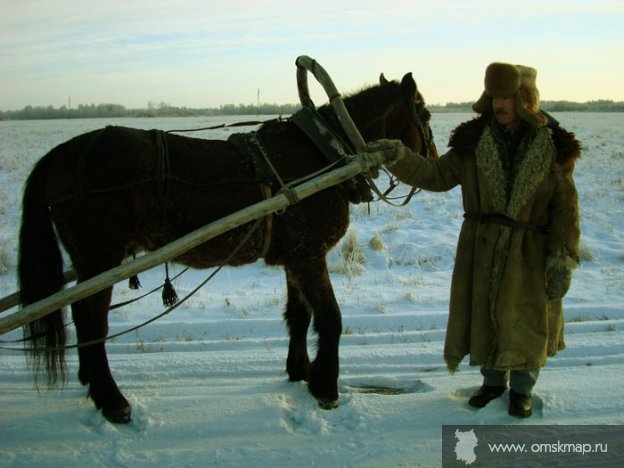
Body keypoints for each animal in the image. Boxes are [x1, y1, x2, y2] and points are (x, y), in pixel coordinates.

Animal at [20, 71, 438, 422]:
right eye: (426, 115)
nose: (433, 164)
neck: (323, 151)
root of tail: (59, 155)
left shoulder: (296, 257)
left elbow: (299, 315)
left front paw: (300, 370)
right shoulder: (309, 253)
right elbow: (330, 318)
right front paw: (325, 386)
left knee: (83, 316)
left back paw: (91, 380)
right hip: (100, 259)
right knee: (92, 318)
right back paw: (111, 399)